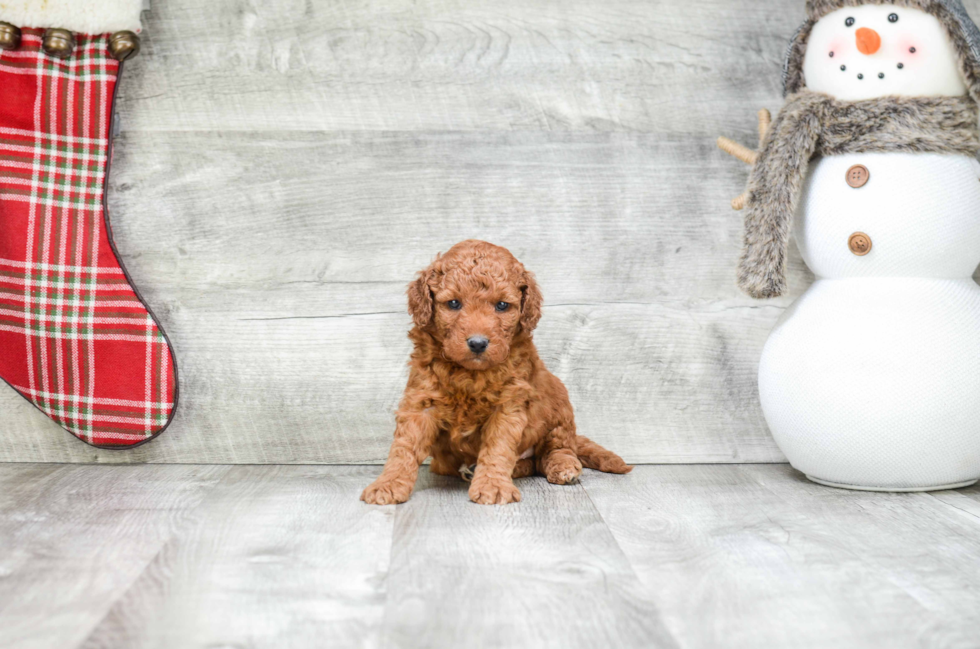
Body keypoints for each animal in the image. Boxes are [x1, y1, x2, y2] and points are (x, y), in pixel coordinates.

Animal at [364, 239, 632, 506]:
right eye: (453, 303)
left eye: (502, 305)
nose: (478, 343)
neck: (469, 374)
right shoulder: (421, 402)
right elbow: (404, 447)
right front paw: (387, 484)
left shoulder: (508, 405)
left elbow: (498, 448)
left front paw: (493, 486)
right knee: (530, 464)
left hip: (559, 405)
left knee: (556, 449)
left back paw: (563, 467)